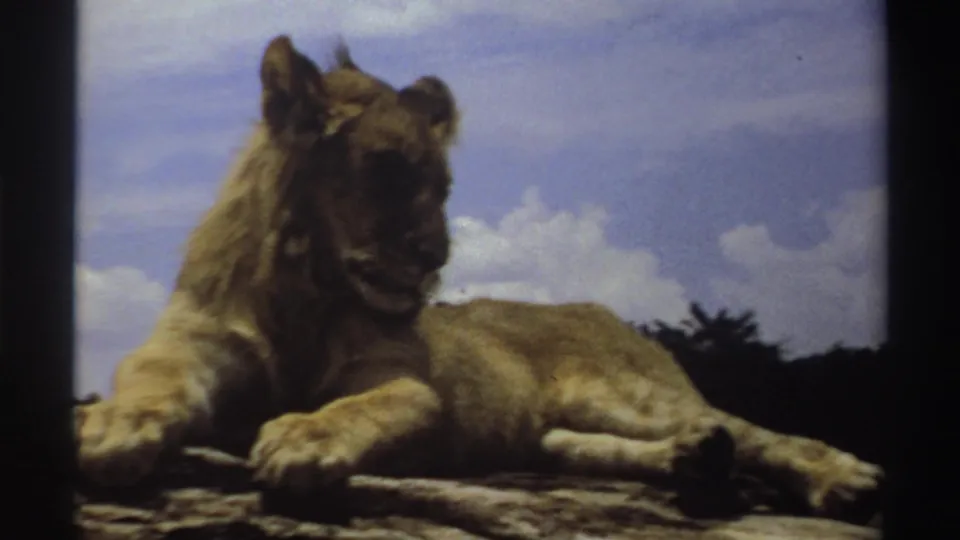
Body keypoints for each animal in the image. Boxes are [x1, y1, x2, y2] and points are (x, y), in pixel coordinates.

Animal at [76, 35, 882, 519]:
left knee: (756, 431)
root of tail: (604, 310)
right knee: (589, 445)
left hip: (623, 392)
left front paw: (303, 437)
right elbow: (151, 384)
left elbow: (361, 406)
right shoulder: (187, 346)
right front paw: (108, 424)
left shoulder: (406, 382)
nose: (435, 256)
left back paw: (841, 479)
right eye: (388, 170)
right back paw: (694, 461)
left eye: (443, 187)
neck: (308, 286)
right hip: (552, 431)